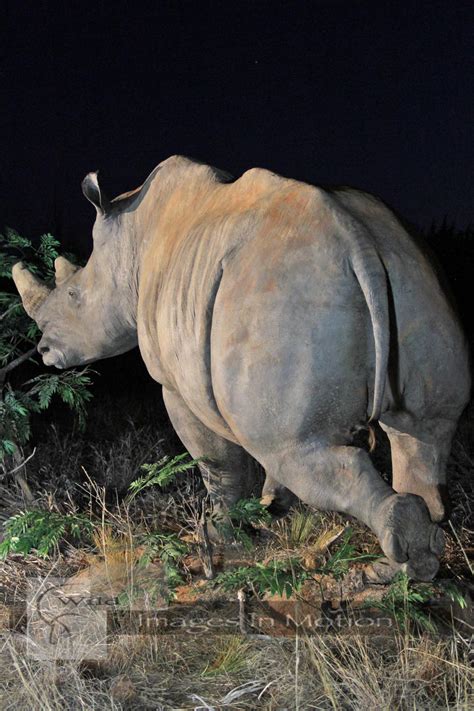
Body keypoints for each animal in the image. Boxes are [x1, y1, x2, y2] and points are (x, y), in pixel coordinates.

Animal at [12, 156, 470, 580]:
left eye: (73, 295)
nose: (44, 349)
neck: (129, 246)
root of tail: (360, 242)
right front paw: (270, 508)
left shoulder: (176, 385)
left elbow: (217, 463)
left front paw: (223, 536)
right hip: (411, 274)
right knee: (422, 434)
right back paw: (400, 569)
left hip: (286, 300)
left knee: (299, 452)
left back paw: (393, 569)